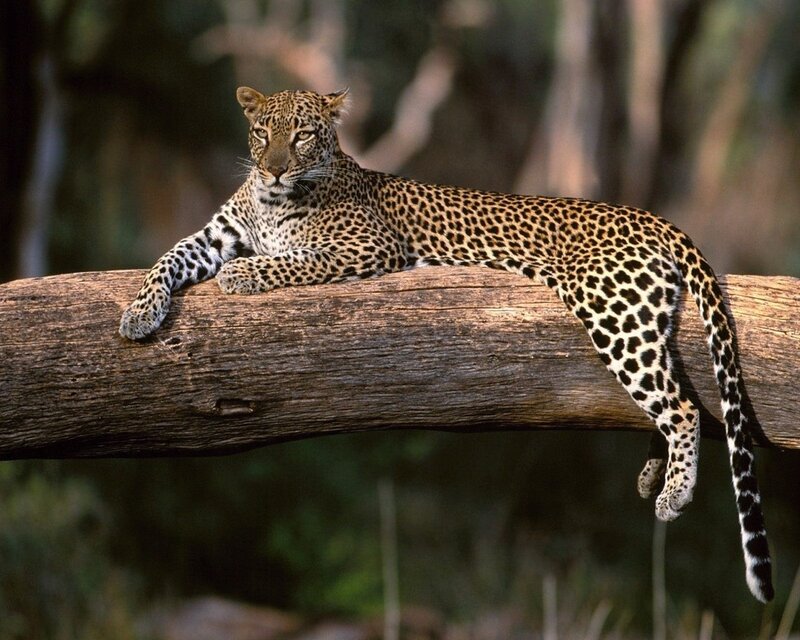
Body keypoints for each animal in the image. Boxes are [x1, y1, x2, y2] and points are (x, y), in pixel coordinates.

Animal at [120, 87, 773, 602]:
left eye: (302, 136)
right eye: (262, 133)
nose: (275, 169)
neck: (271, 199)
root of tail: (653, 217)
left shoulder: (365, 248)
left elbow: (285, 262)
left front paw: (241, 276)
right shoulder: (213, 236)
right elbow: (168, 258)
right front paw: (137, 315)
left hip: (611, 311)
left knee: (682, 406)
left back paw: (673, 495)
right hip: (639, 318)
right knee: (670, 391)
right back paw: (652, 475)